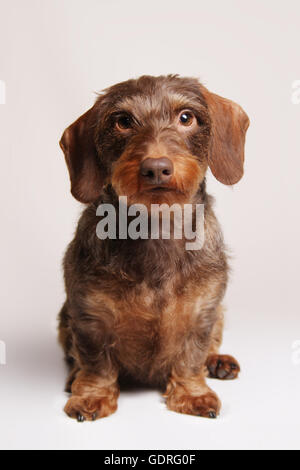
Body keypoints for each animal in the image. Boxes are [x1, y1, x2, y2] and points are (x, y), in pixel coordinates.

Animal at [58, 74, 248, 422]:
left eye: (186, 117)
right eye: (122, 121)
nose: (156, 167)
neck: (156, 228)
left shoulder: (203, 311)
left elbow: (191, 356)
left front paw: (192, 393)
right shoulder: (88, 315)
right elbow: (95, 362)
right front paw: (92, 396)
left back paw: (218, 362)